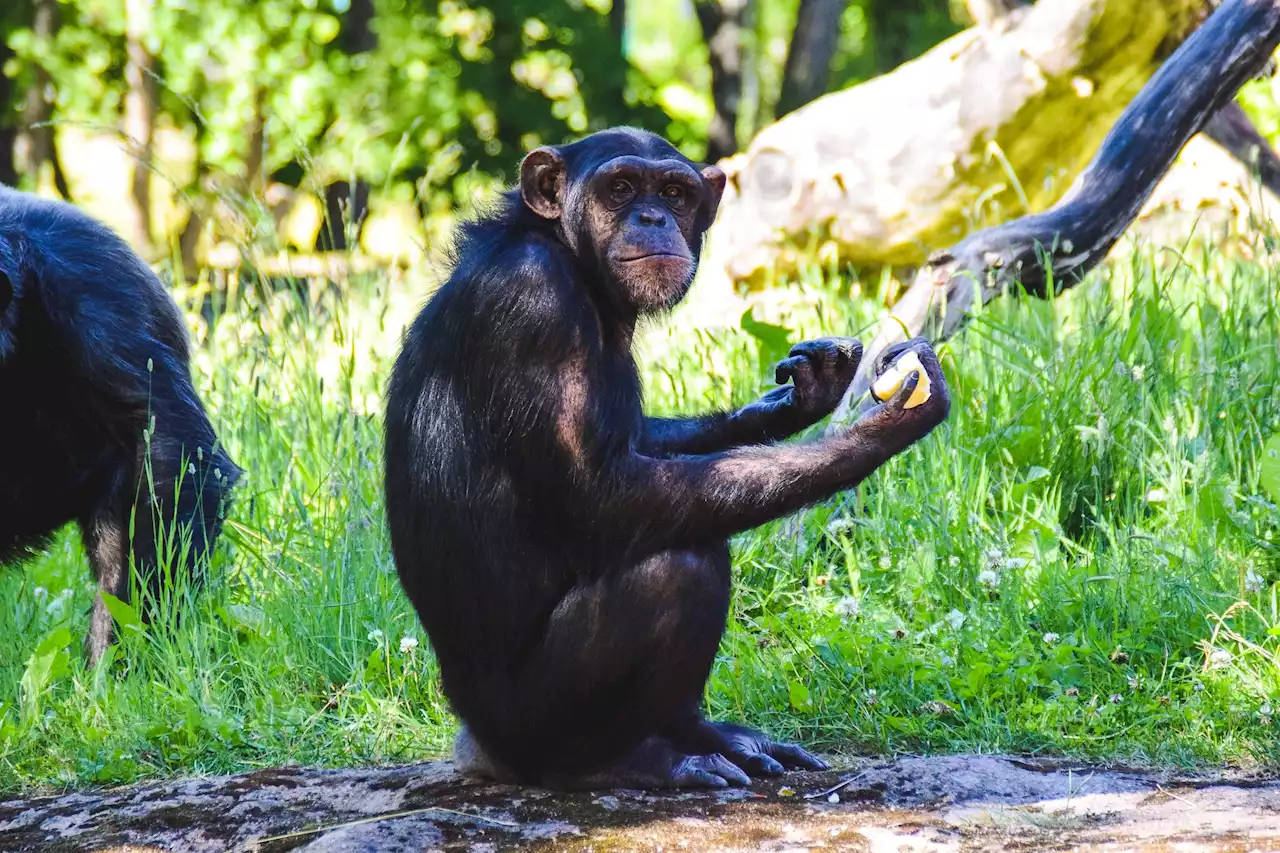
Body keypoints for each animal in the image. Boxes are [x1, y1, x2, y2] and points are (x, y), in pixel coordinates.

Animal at [381, 128, 952, 788]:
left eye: (674, 193)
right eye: (622, 188)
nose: (652, 217)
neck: (570, 259)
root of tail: (474, 747)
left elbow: (642, 445)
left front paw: (803, 393)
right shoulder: (536, 306)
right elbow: (604, 494)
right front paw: (885, 427)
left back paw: (714, 738)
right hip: (525, 723)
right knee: (678, 567)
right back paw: (622, 761)